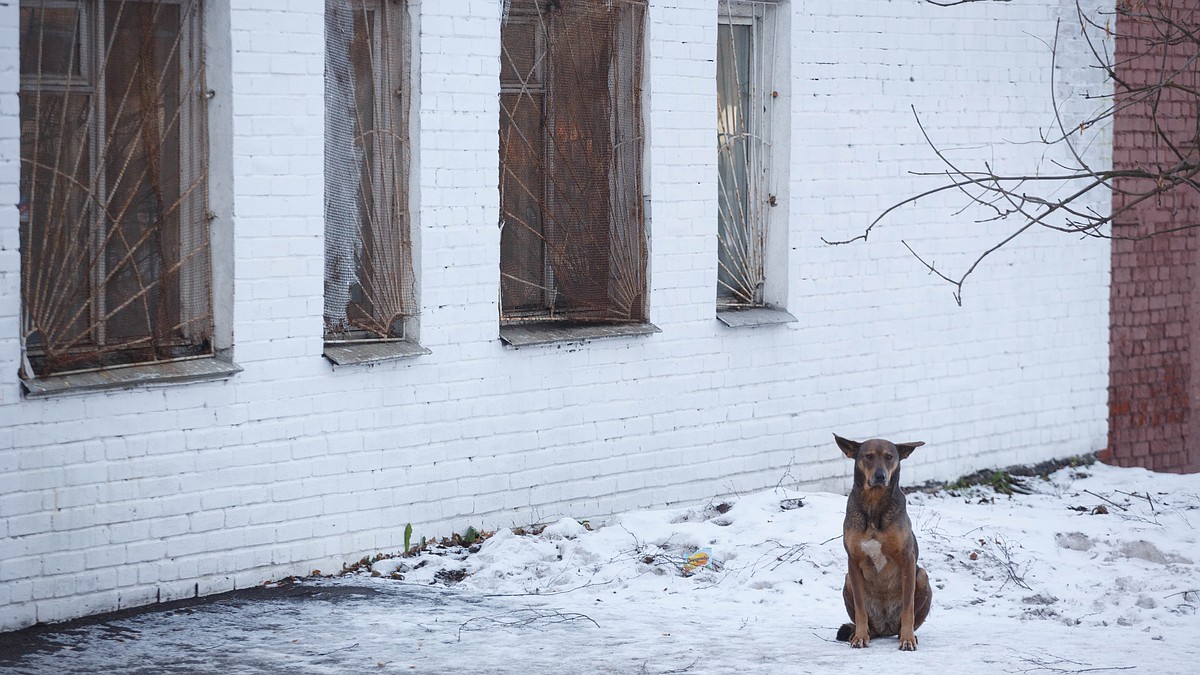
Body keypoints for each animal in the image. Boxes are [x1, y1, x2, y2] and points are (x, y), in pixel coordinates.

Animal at [830, 432, 931, 648]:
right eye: (868, 456)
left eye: (889, 457)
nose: (880, 476)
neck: (874, 503)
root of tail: (885, 628)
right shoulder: (853, 561)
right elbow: (860, 609)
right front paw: (860, 636)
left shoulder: (907, 558)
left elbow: (908, 607)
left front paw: (908, 639)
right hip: (847, 580)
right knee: (868, 624)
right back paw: (861, 633)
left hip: (922, 576)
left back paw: (906, 634)